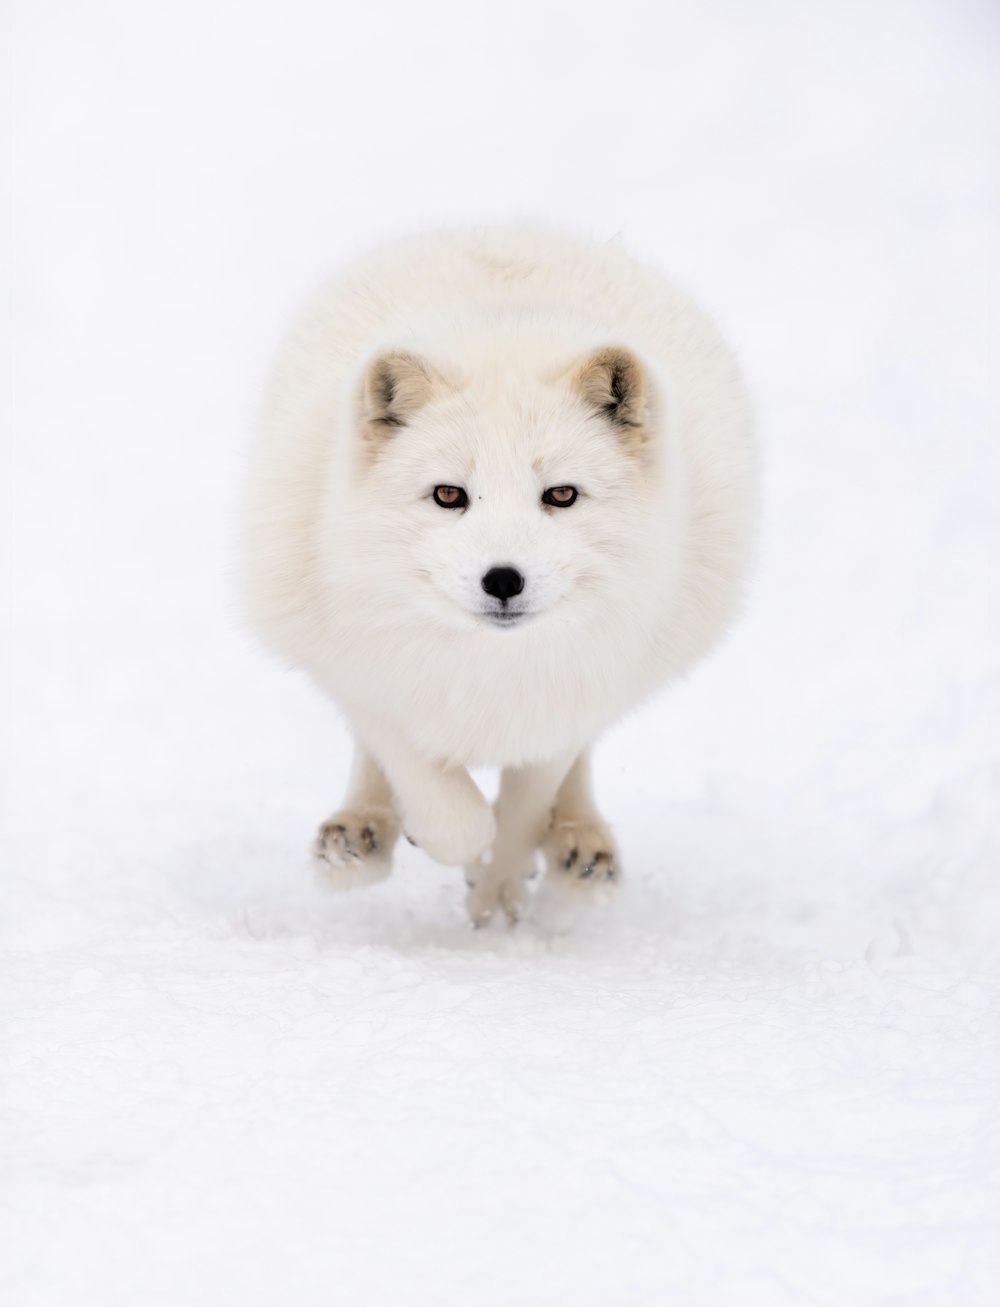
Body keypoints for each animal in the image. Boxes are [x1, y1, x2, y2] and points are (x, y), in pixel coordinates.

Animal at [241, 222, 752, 920]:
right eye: (449, 495)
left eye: (560, 495)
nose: (503, 580)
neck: (491, 666)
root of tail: (512, 227)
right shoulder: (365, 671)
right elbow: (444, 801)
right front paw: (445, 841)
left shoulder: (575, 693)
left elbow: (526, 802)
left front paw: (498, 889)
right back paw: (359, 835)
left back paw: (581, 846)